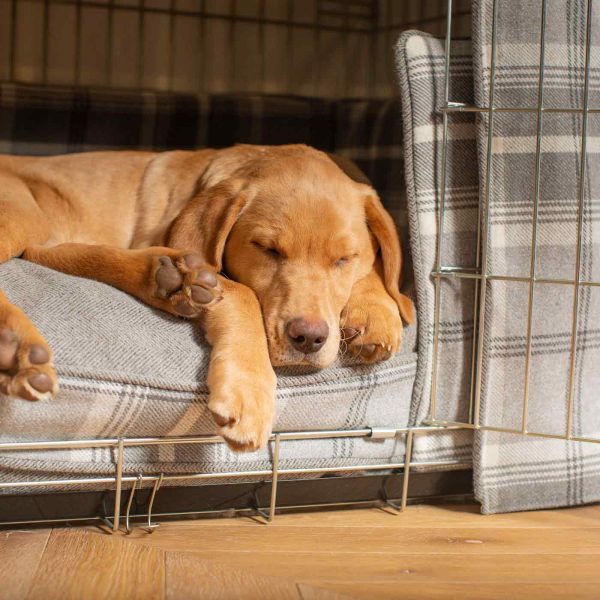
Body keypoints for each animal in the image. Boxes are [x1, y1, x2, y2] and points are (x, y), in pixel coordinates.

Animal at [0, 145, 412, 450]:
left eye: (344, 258)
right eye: (267, 249)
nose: (309, 338)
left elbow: (380, 269)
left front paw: (376, 312)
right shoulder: (216, 273)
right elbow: (244, 295)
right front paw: (249, 390)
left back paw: (164, 276)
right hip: (24, 214)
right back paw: (16, 344)